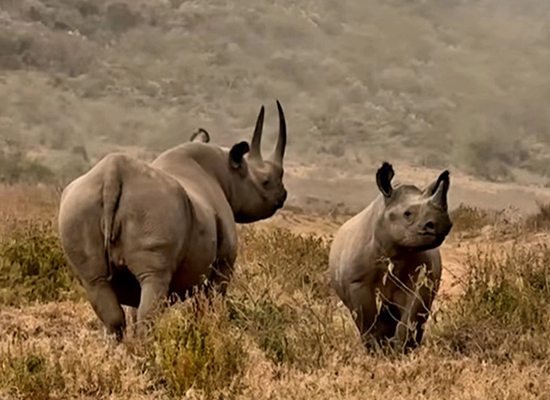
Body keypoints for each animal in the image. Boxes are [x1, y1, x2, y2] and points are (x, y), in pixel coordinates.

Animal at [58, 101, 288, 339]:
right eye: (266, 181)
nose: (283, 195)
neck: (228, 174)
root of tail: (113, 175)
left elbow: (134, 308)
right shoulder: (223, 264)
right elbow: (209, 304)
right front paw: (210, 333)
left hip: (79, 205)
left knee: (97, 284)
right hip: (154, 208)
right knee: (154, 280)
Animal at [329, 162, 452, 351]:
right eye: (407, 214)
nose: (442, 224)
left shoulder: (421, 280)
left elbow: (412, 316)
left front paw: (401, 349)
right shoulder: (357, 282)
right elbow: (368, 319)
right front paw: (377, 349)